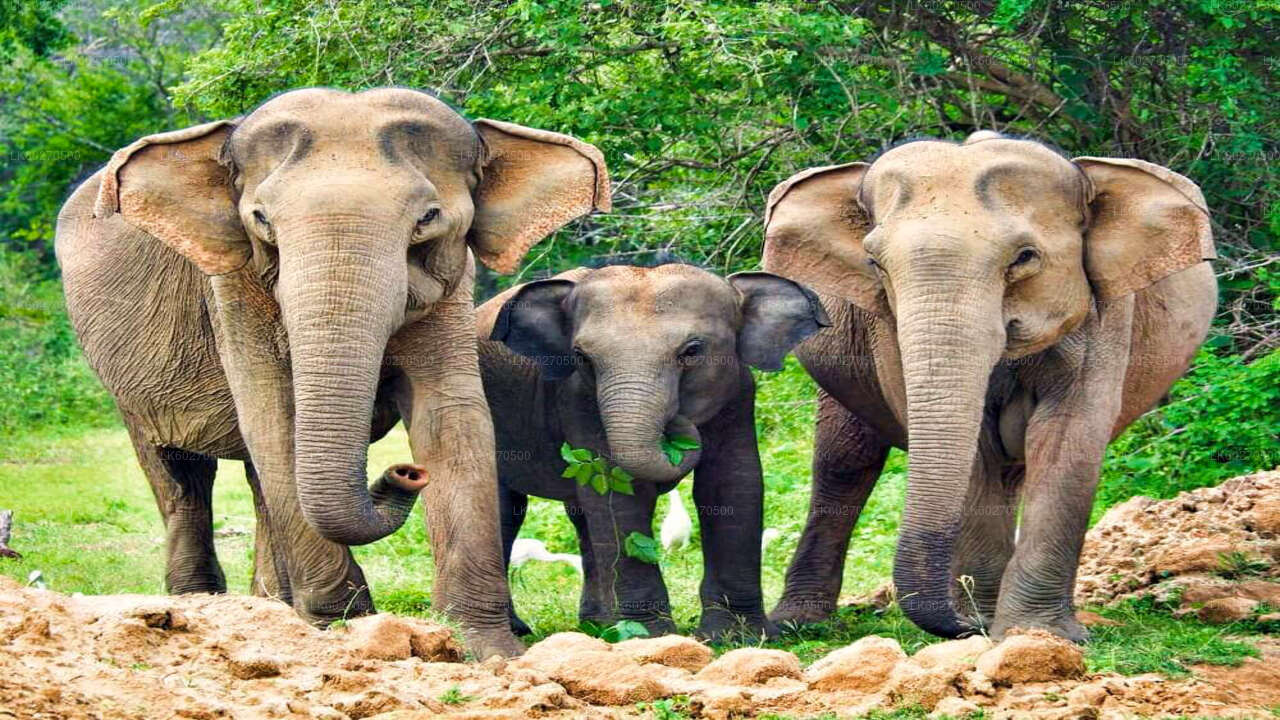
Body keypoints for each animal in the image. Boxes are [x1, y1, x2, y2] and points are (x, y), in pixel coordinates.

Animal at [52, 85, 606, 655]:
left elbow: (453, 414)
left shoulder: (453, 284)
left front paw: (487, 649)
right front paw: (342, 626)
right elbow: (272, 417)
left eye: (427, 218)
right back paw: (201, 604)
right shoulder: (232, 290)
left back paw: (272, 606)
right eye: (262, 220)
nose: (405, 473)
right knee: (181, 475)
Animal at [478, 265, 829, 638]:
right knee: (509, 509)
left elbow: (732, 482)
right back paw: (523, 629)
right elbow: (619, 492)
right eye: (582, 358)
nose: (679, 423)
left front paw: (738, 636)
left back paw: (598, 624)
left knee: (581, 515)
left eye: (692, 350)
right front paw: (649, 636)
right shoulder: (576, 399)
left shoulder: (738, 391)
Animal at [757, 131, 1218, 640]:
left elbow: (1067, 436)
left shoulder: (1108, 314)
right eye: (874, 263)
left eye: (1025, 257)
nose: (962, 625)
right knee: (844, 462)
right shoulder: (888, 330)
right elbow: (978, 450)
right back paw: (798, 624)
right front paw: (990, 623)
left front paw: (1036, 633)